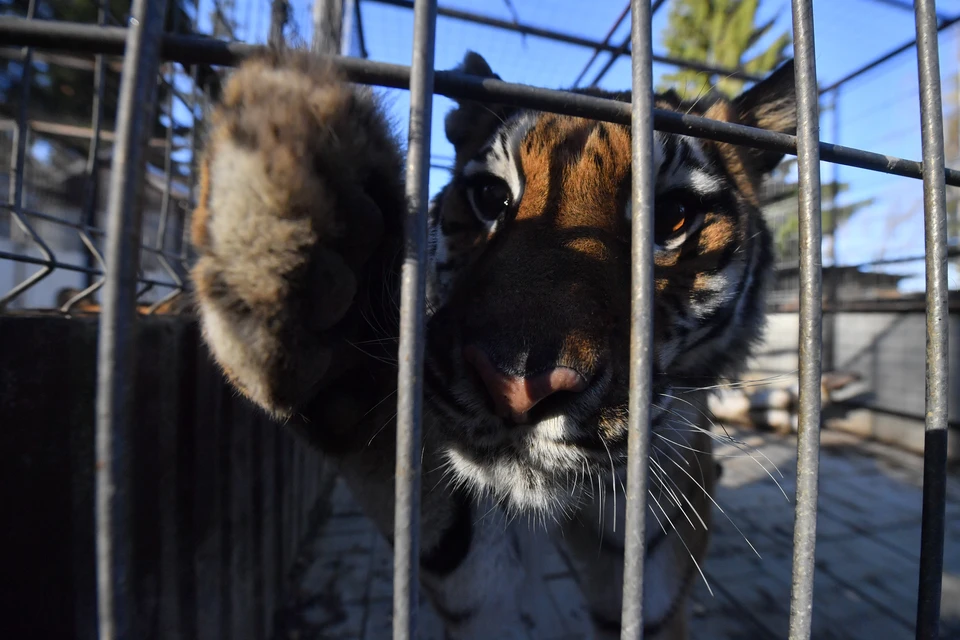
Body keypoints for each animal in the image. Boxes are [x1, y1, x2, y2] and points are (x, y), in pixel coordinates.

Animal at [189, 51, 796, 640]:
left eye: (671, 217)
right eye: (490, 196)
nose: (517, 388)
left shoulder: (655, 585)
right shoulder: (470, 574)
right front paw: (296, 193)